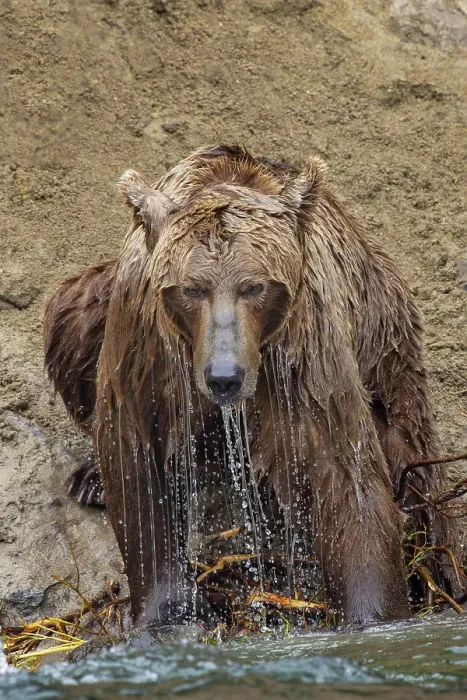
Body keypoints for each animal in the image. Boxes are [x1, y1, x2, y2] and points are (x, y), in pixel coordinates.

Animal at [44, 144, 459, 629]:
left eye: (254, 287)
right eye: (192, 288)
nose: (224, 376)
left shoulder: (302, 350)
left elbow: (342, 470)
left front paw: (374, 613)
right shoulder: (145, 346)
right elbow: (136, 458)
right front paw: (169, 613)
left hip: (385, 340)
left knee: (410, 448)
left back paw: (439, 567)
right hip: (99, 301)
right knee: (72, 313)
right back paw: (87, 480)